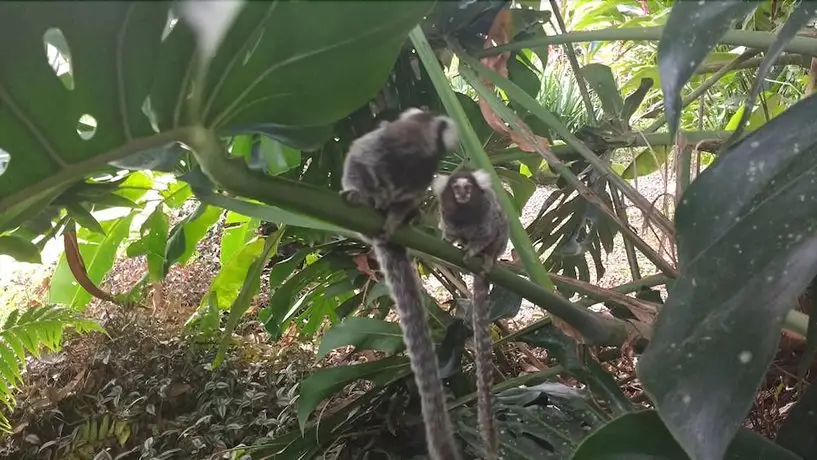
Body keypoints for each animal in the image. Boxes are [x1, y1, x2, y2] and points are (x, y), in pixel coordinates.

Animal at [338, 107, 462, 460]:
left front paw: (398, 215)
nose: (388, 193)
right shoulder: (378, 149)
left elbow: (410, 197)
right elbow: (358, 156)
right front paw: (363, 191)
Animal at [430, 170, 506, 460]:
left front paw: (474, 251)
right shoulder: (447, 215)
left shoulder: (487, 215)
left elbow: (488, 231)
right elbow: (449, 232)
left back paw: (486, 259)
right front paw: (450, 241)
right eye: (456, 188)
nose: (462, 194)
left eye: (468, 188)